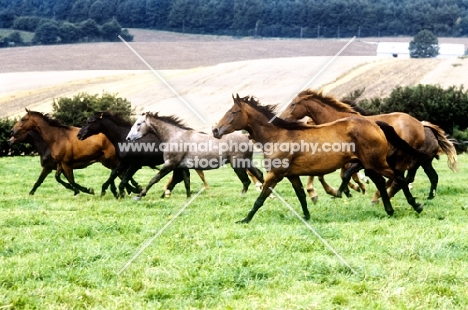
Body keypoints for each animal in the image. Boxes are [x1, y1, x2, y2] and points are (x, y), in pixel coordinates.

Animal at [9, 110, 137, 195]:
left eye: (23, 119)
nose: (11, 132)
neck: (56, 138)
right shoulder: (60, 164)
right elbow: (59, 179)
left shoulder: (60, 165)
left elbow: (70, 181)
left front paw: (87, 190)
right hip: (108, 161)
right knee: (119, 173)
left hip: (112, 160)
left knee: (120, 173)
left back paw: (128, 190)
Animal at [77, 113, 210, 199]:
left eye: (90, 121)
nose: (79, 135)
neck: (124, 138)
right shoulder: (124, 162)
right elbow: (114, 173)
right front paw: (105, 190)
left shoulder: (135, 165)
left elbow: (123, 180)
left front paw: (123, 194)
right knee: (182, 177)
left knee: (181, 177)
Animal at [125, 112, 264, 200]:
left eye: (139, 124)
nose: (128, 138)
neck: (174, 136)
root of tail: (246, 136)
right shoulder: (182, 167)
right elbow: (187, 182)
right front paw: (188, 198)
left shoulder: (170, 164)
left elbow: (154, 179)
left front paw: (139, 195)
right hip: (247, 162)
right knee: (259, 174)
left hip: (238, 164)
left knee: (246, 181)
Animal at [214, 94, 426, 223]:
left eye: (233, 112)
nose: (215, 130)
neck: (278, 136)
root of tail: (375, 124)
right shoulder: (291, 175)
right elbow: (301, 195)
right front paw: (307, 216)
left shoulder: (275, 174)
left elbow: (261, 197)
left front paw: (245, 219)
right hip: (369, 165)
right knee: (383, 183)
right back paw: (389, 210)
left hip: (377, 163)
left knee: (398, 178)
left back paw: (416, 205)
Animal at [278, 89, 458, 201]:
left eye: (293, 104)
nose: (282, 119)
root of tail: (422, 125)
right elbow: (340, 175)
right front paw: (343, 191)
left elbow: (344, 175)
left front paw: (340, 191)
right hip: (422, 162)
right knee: (428, 177)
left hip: (408, 159)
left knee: (404, 177)